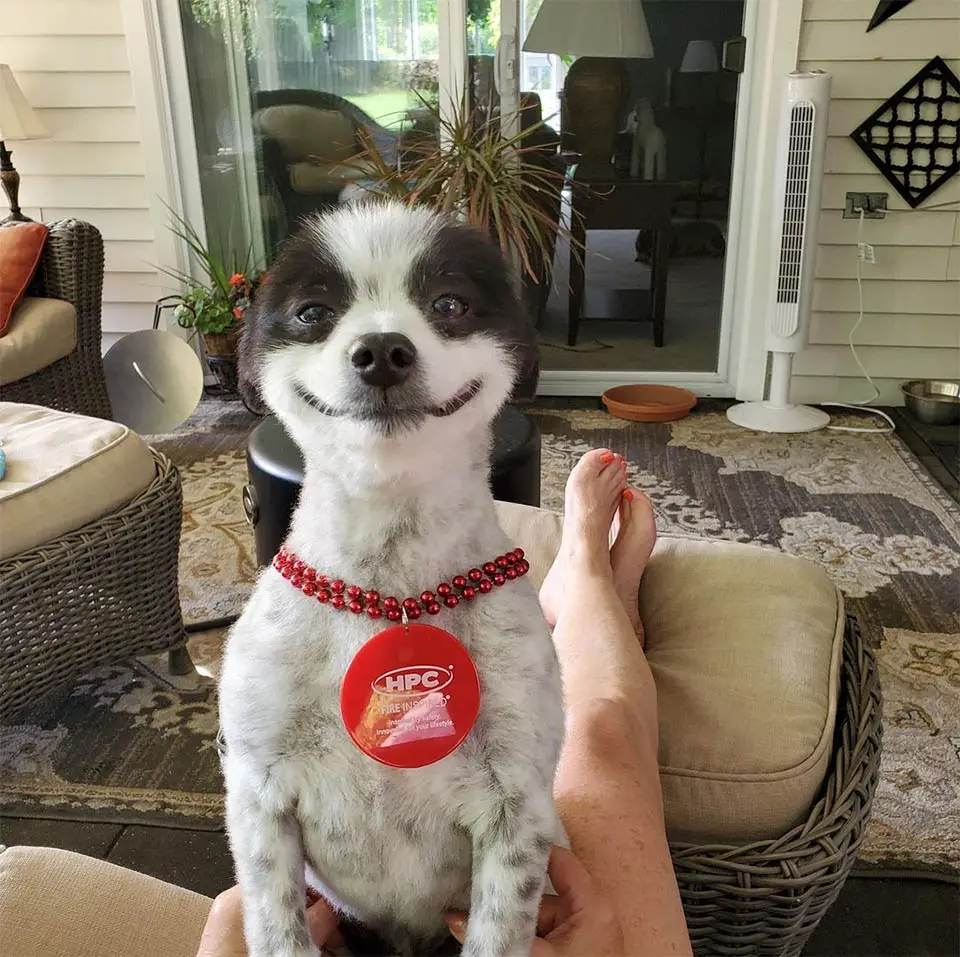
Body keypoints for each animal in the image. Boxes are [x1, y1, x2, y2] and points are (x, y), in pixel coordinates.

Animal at [221, 202, 568, 956]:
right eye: (311, 312)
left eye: (450, 304)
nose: (381, 350)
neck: (390, 595)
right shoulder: (259, 798)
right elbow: (276, 924)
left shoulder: (518, 811)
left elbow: (498, 931)